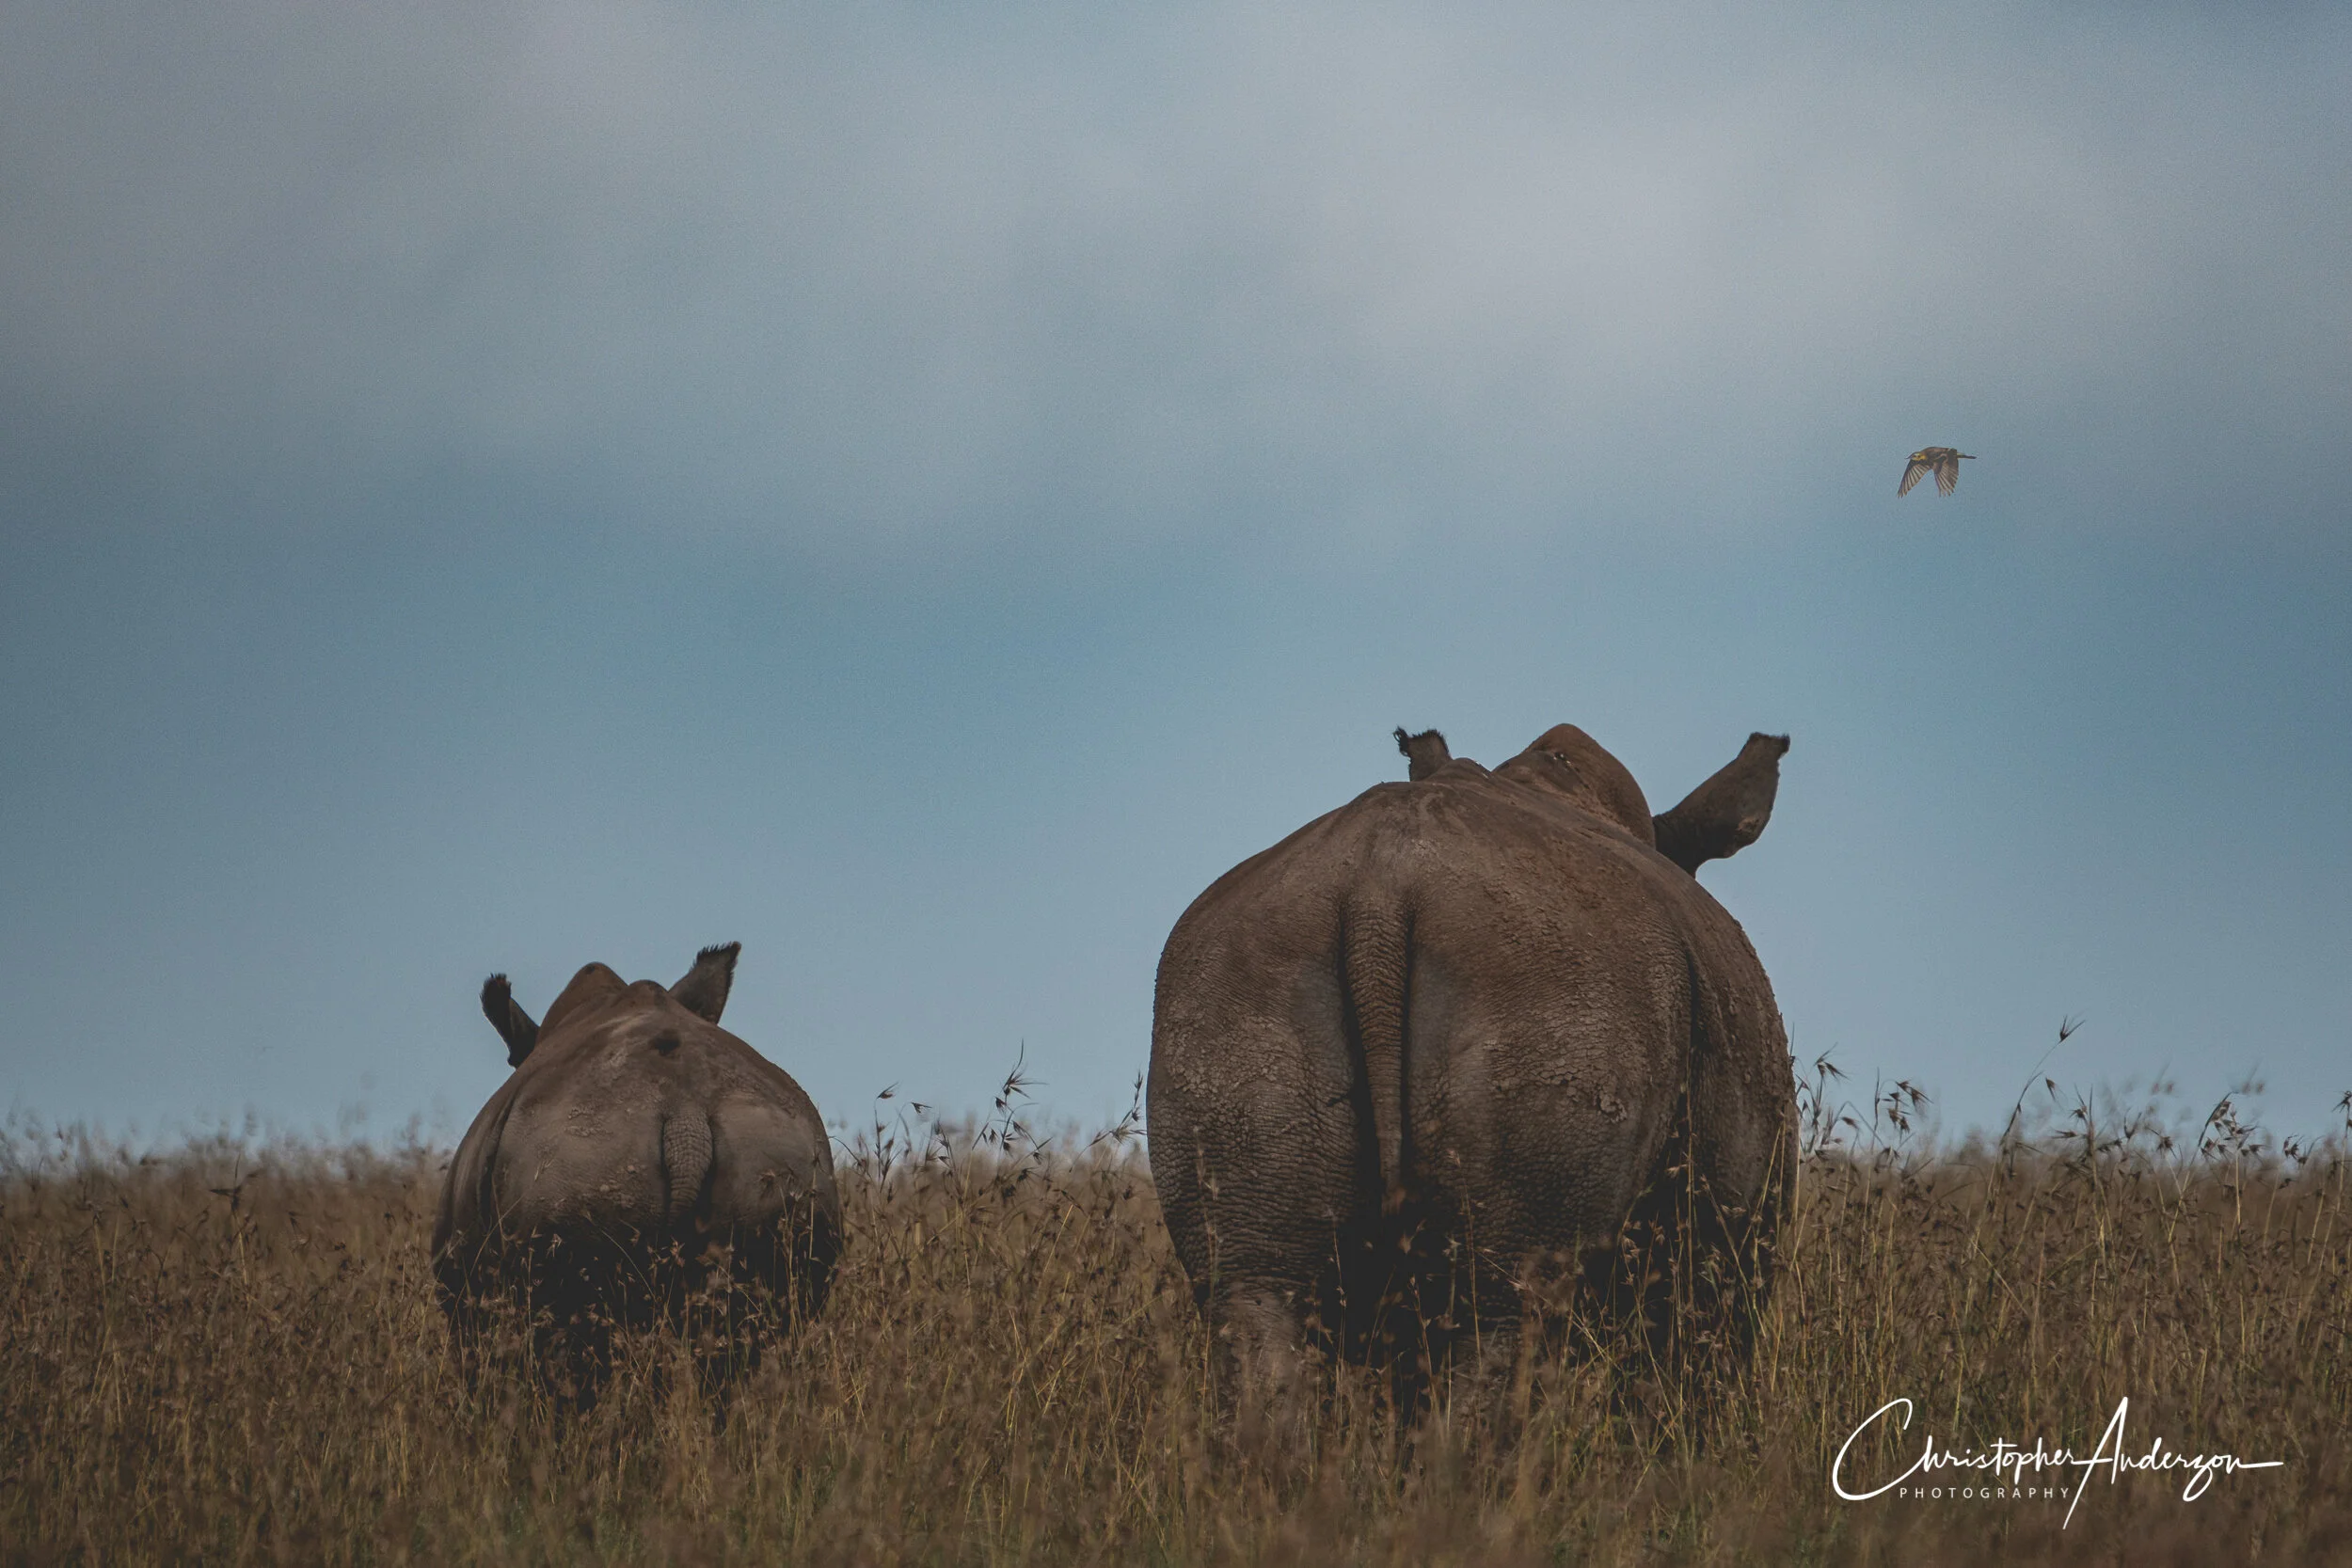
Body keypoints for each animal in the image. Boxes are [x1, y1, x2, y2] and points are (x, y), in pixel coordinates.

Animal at [1148, 723, 1794, 1422]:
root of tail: (1378, 889)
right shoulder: (1729, 1251)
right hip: (1554, 982)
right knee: (1506, 1315)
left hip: (1238, 974)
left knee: (1260, 1301)